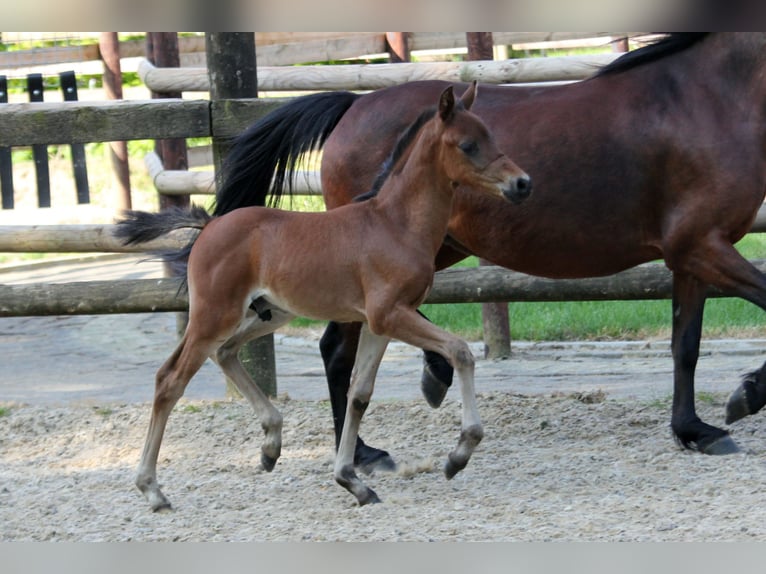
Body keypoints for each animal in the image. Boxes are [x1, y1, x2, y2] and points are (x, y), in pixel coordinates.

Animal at [115, 83, 536, 510]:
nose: (522, 184)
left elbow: (360, 394)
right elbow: (460, 351)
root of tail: (210, 225)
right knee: (170, 379)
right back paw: (153, 489)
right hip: (214, 315)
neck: (395, 224)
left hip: (270, 312)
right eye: (468, 145)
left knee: (226, 352)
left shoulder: (379, 323)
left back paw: (271, 445)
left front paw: (352, 480)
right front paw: (459, 454)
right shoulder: (390, 314)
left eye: (491, 136)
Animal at [212, 32, 766, 468]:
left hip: (432, 249)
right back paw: (366, 451)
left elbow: (685, 345)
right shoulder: (702, 246)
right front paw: (744, 397)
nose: (523, 184)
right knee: (338, 349)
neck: (707, 98)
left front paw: (696, 429)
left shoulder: (690, 254)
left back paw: (415, 395)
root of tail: (353, 105)